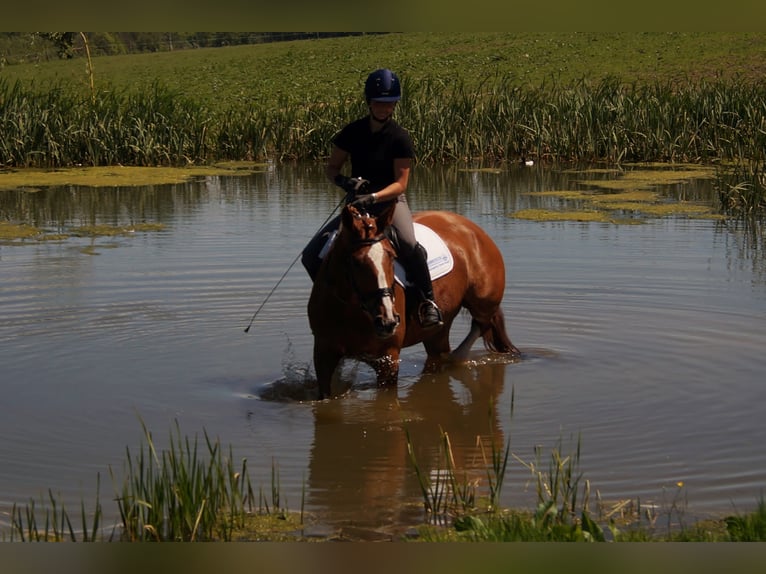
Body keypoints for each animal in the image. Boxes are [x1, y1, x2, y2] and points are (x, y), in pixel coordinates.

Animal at [308, 206, 520, 400]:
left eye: (392, 257)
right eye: (356, 262)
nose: (388, 321)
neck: (351, 309)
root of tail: (474, 229)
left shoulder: (388, 359)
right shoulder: (323, 355)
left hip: (483, 301)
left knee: (480, 324)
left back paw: (457, 358)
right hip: (439, 327)